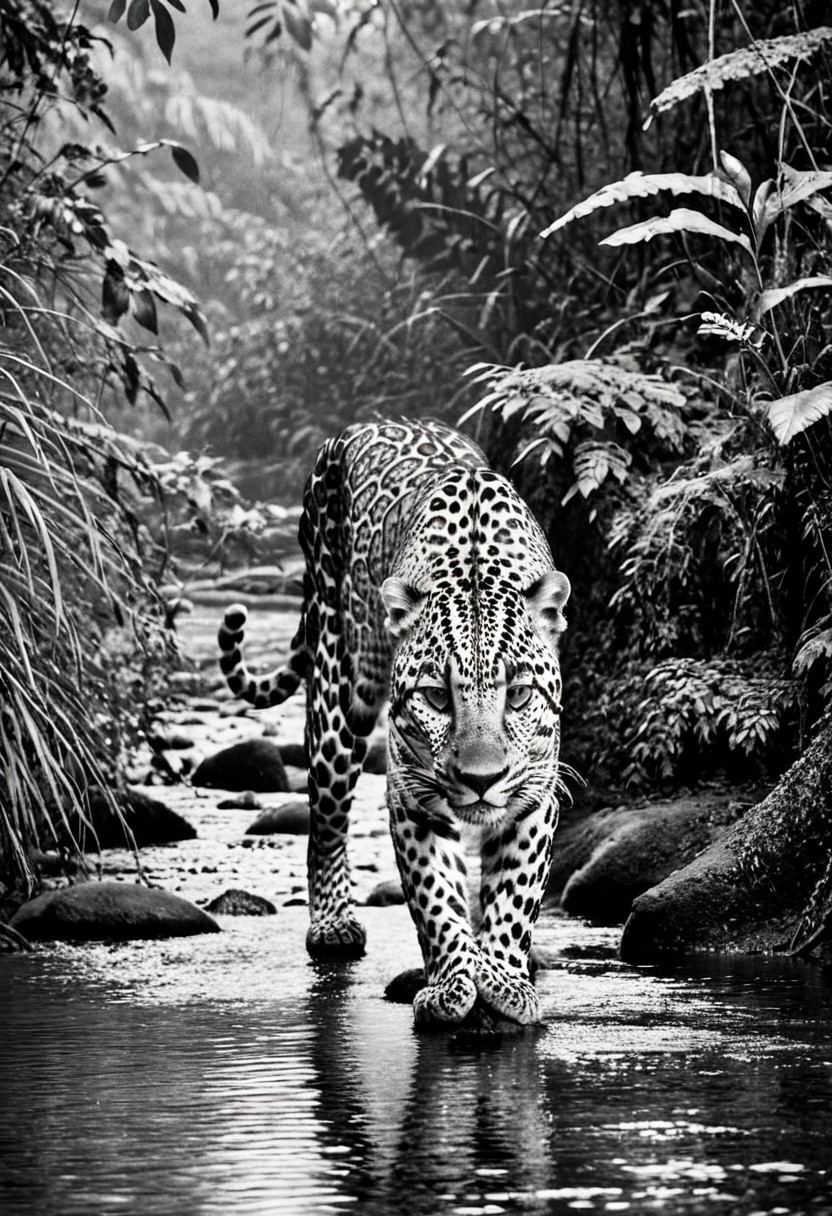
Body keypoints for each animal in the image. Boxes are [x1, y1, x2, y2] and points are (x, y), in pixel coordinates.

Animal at [217, 419, 570, 1028]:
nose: (481, 780)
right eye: (436, 697)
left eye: (520, 694)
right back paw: (332, 924)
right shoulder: (413, 794)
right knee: (325, 819)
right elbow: (435, 899)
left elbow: (513, 895)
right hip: (339, 692)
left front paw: (504, 980)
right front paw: (451, 984)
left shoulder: (535, 792)